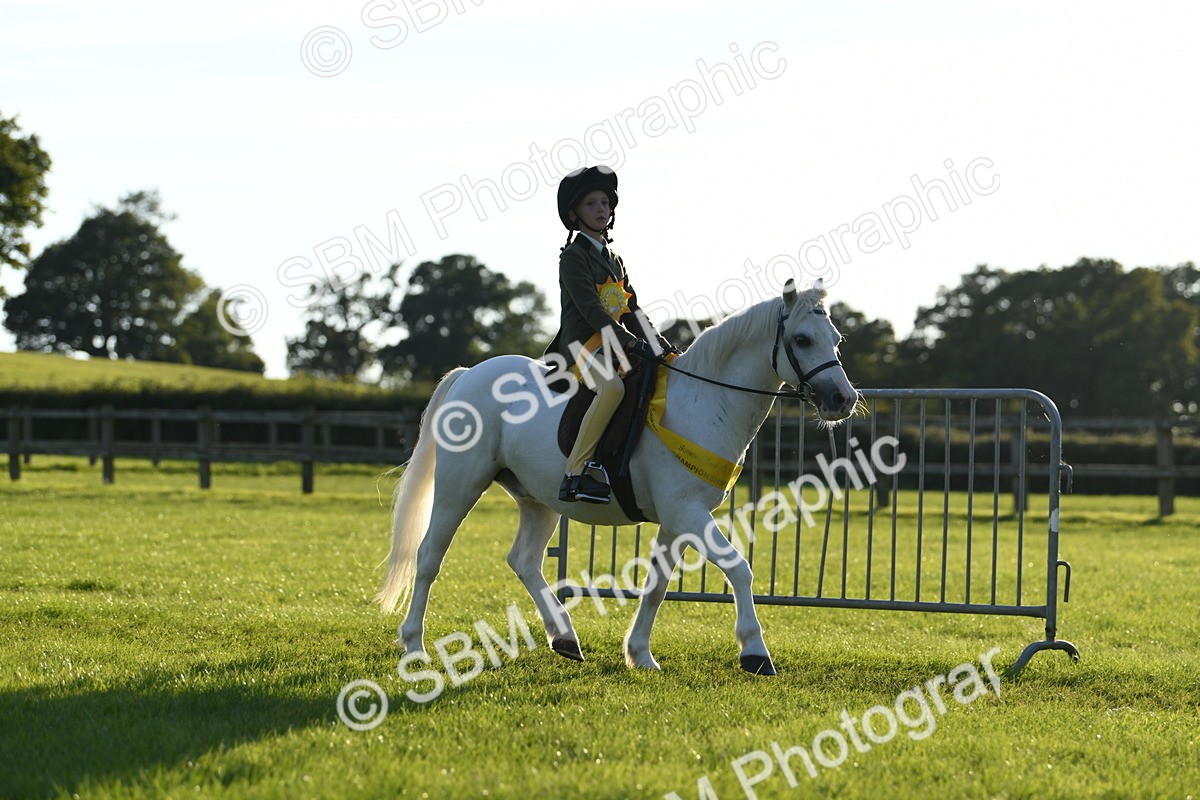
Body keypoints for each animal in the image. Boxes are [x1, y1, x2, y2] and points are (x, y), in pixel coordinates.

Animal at [378, 278, 859, 675]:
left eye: (837, 340)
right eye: (802, 339)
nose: (843, 399)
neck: (705, 402)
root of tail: (467, 375)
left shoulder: (678, 519)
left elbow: (656, 585)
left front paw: (640, 654)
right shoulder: (688, 513)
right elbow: (739, 568)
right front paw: (755, 652)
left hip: (539, 500)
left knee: (524, 560)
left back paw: (565, 638)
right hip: (460, 486)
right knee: (429, 556)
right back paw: (415, 646)